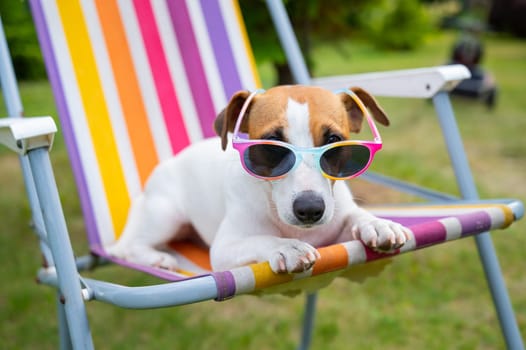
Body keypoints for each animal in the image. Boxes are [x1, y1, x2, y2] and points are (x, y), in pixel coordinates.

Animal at [108, 85, 412, 274]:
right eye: (272, 146)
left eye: (334, 140)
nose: (310, 209)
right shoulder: (225, 247)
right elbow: (263, 239)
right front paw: (286, 246)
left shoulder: (338, 220)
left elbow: (356, 216)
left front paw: (377, 223)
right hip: (166, 215)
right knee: (129, 247)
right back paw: (157, 258)